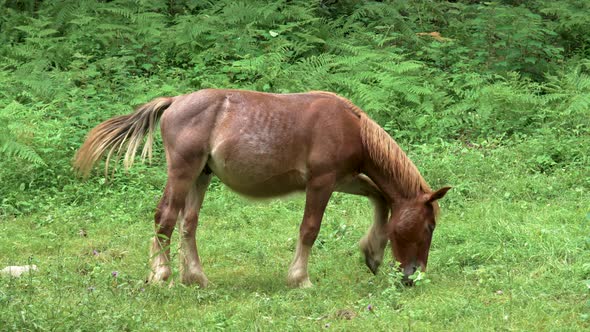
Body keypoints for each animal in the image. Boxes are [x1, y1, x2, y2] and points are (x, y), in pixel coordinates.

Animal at [75, 89, 454, 288]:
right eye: (429, 226)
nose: (413, 275)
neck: (351, 127)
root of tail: (175, 101)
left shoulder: (343, 178)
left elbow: (379, 198)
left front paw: (372, 253)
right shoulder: (322, 182)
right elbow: (309, 229)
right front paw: (300, 279)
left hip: (201, 176)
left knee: (188, 224)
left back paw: (195, 276)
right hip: (183, 172)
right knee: (166, 218)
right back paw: (162, 275)